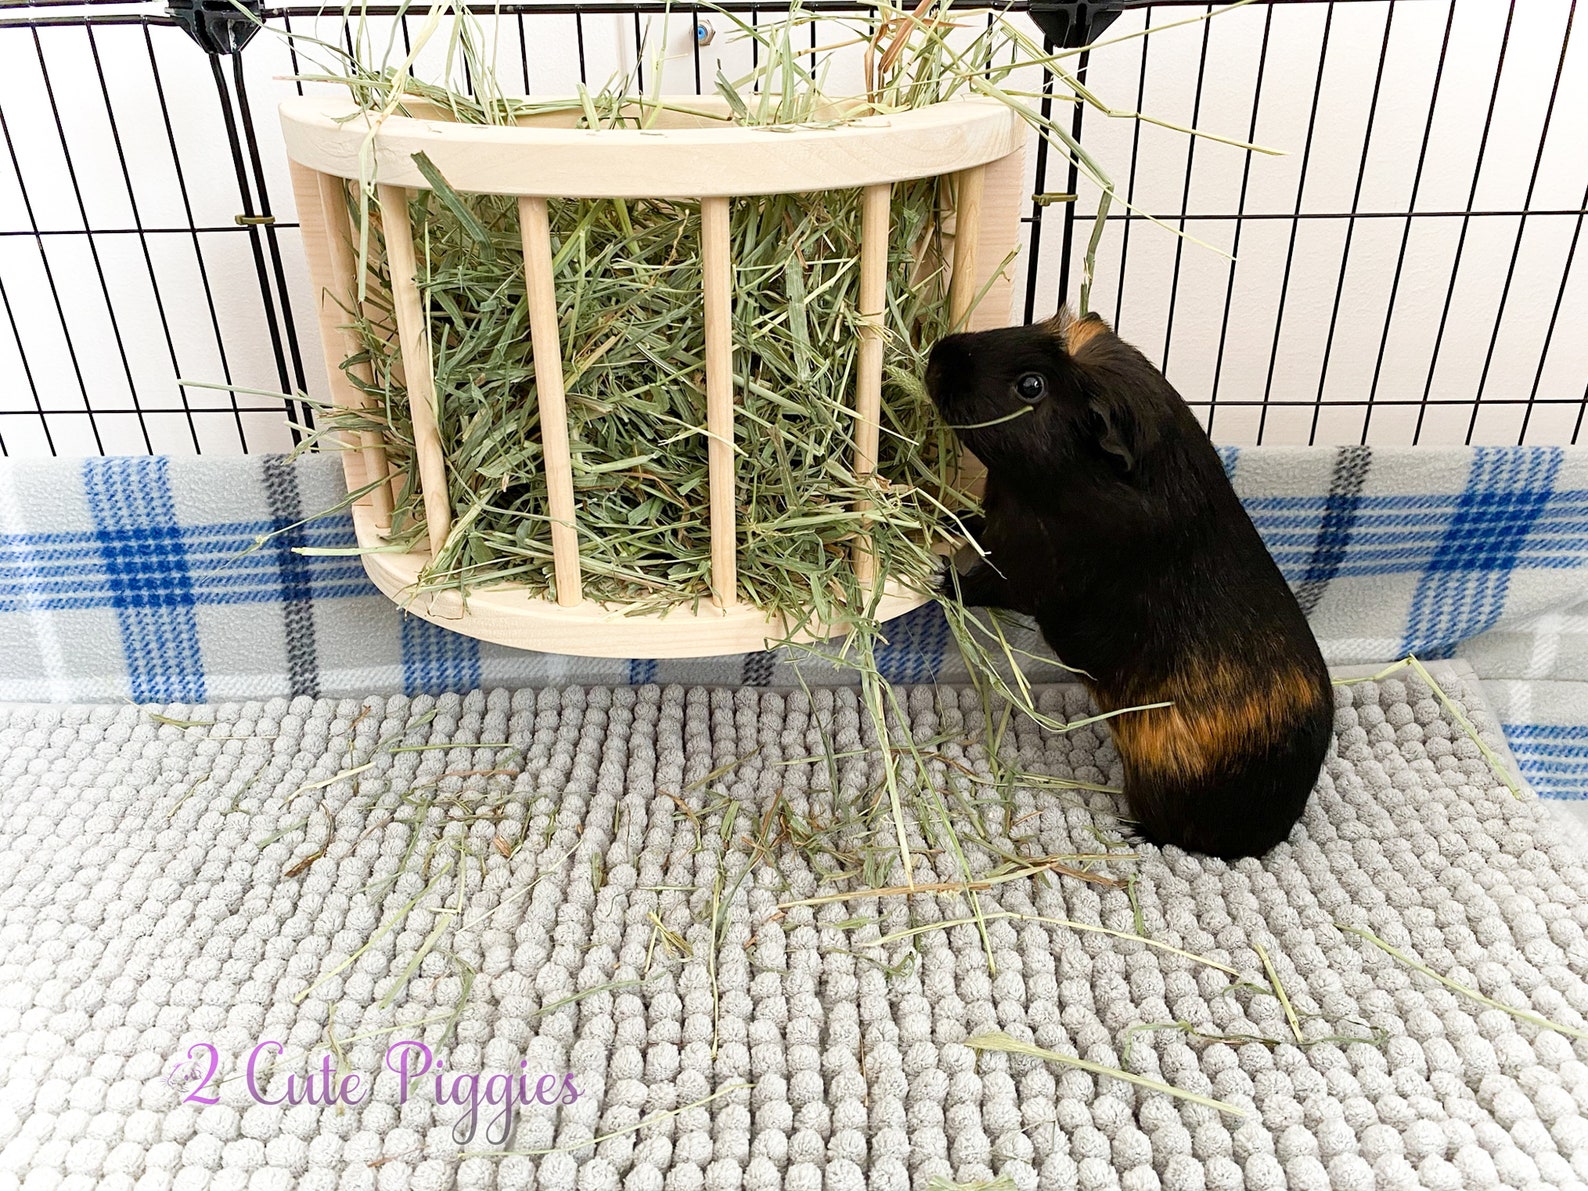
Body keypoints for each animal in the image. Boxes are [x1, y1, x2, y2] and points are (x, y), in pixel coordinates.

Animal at [925, 306, 1333, 859]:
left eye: (1031, 386)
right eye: (1027, 327)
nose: (937, 355)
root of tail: (1267, 833)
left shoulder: (1032, 567)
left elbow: (985, 584)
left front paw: (939, 575)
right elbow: (975, 528)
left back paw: (1132, 831)